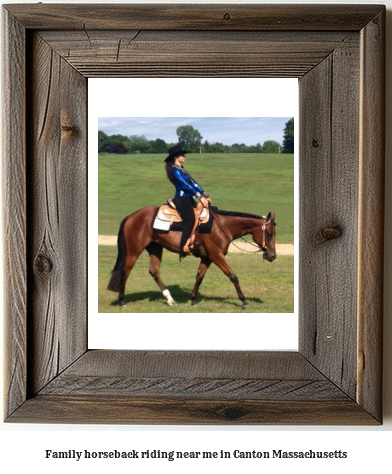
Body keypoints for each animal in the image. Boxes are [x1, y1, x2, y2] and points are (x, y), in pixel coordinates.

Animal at [107, 206, 276, 310]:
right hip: (134, 251)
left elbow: (199, 277)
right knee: (125, 272)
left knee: (154, 271)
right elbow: (233, 276)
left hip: (155, 248)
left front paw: (193, 300)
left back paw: (170, 299)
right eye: (269, 233)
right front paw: (244, 301)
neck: (220, 226)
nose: (272, 256)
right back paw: (122, 301)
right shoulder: (217, 255)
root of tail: (131, 216)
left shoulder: (207, 258)